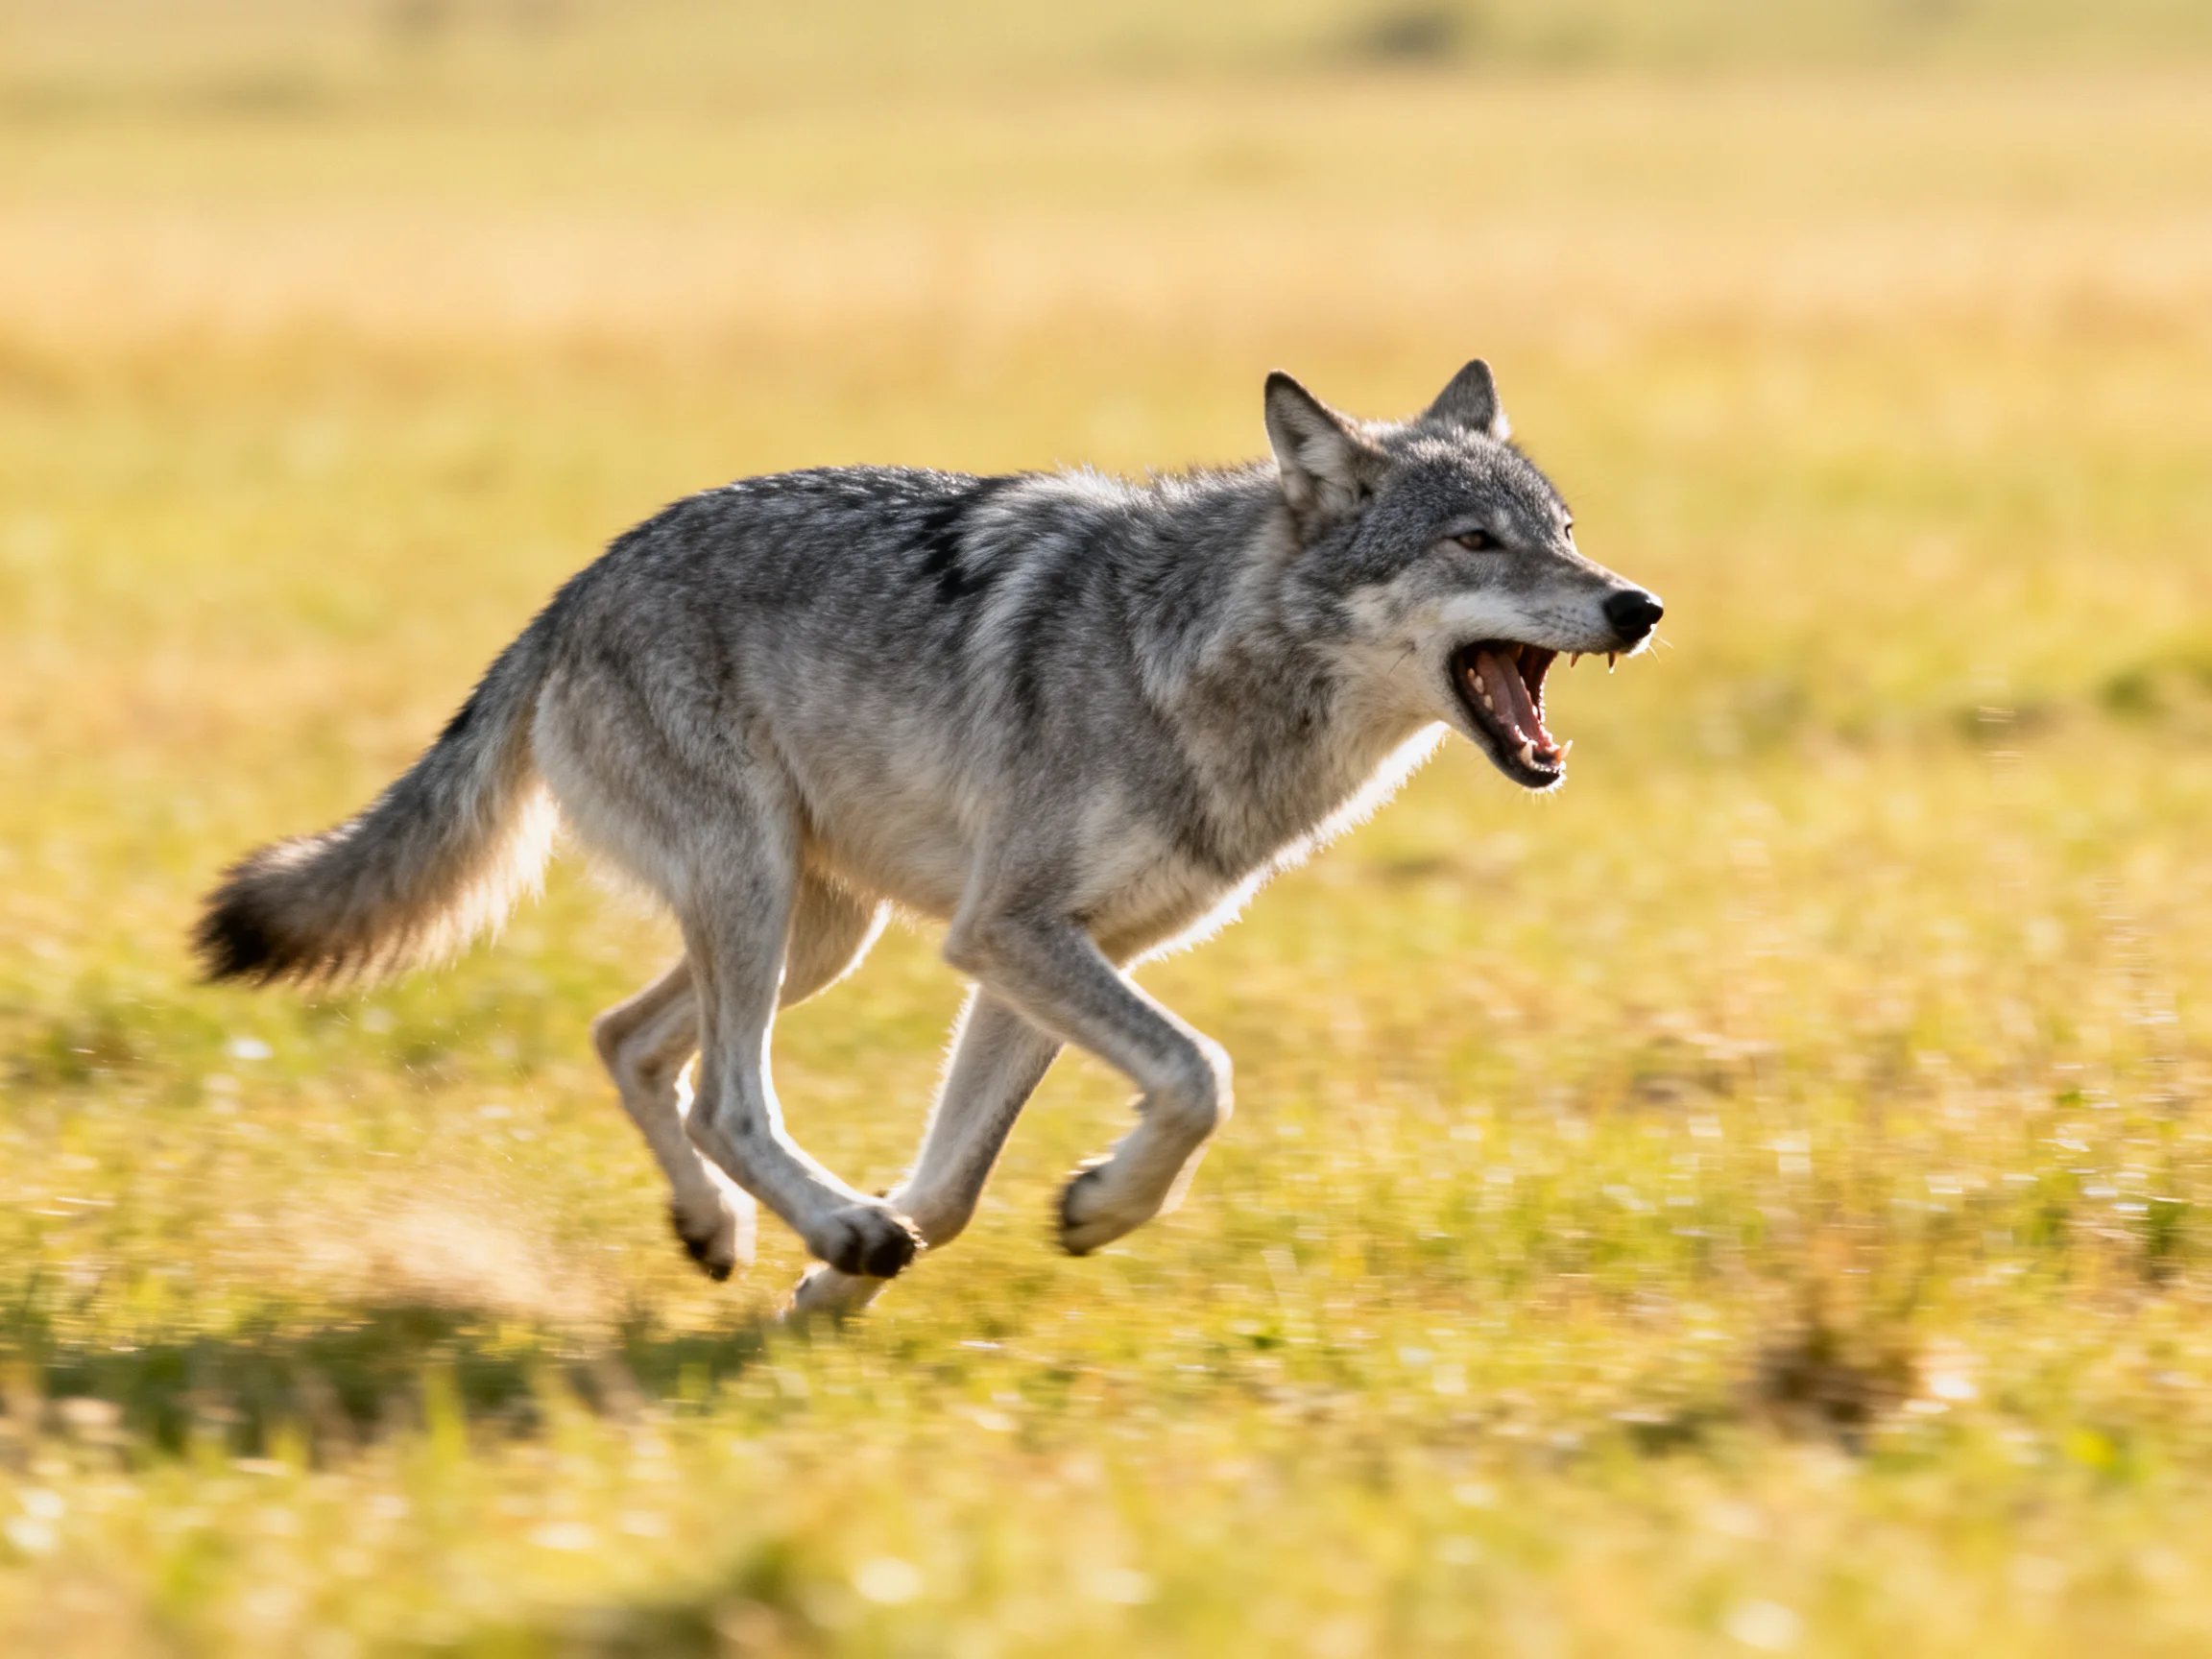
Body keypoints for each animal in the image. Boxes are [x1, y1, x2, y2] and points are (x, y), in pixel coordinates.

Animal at [196, 361, 1662, 1317]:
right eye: (1474, 540)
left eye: (1564, 534)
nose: (1638, 606)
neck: (1192, 659)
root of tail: (572, 591)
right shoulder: (1010, 933)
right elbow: (1201, 1075)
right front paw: (1082, 1208)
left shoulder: (1035, 960)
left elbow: (958, 1187)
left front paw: (839, 1290)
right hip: (760, 899)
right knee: (723, 1092)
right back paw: (827, 1219)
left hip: (816, 934)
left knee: (626, 1040)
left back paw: (730, 1231)